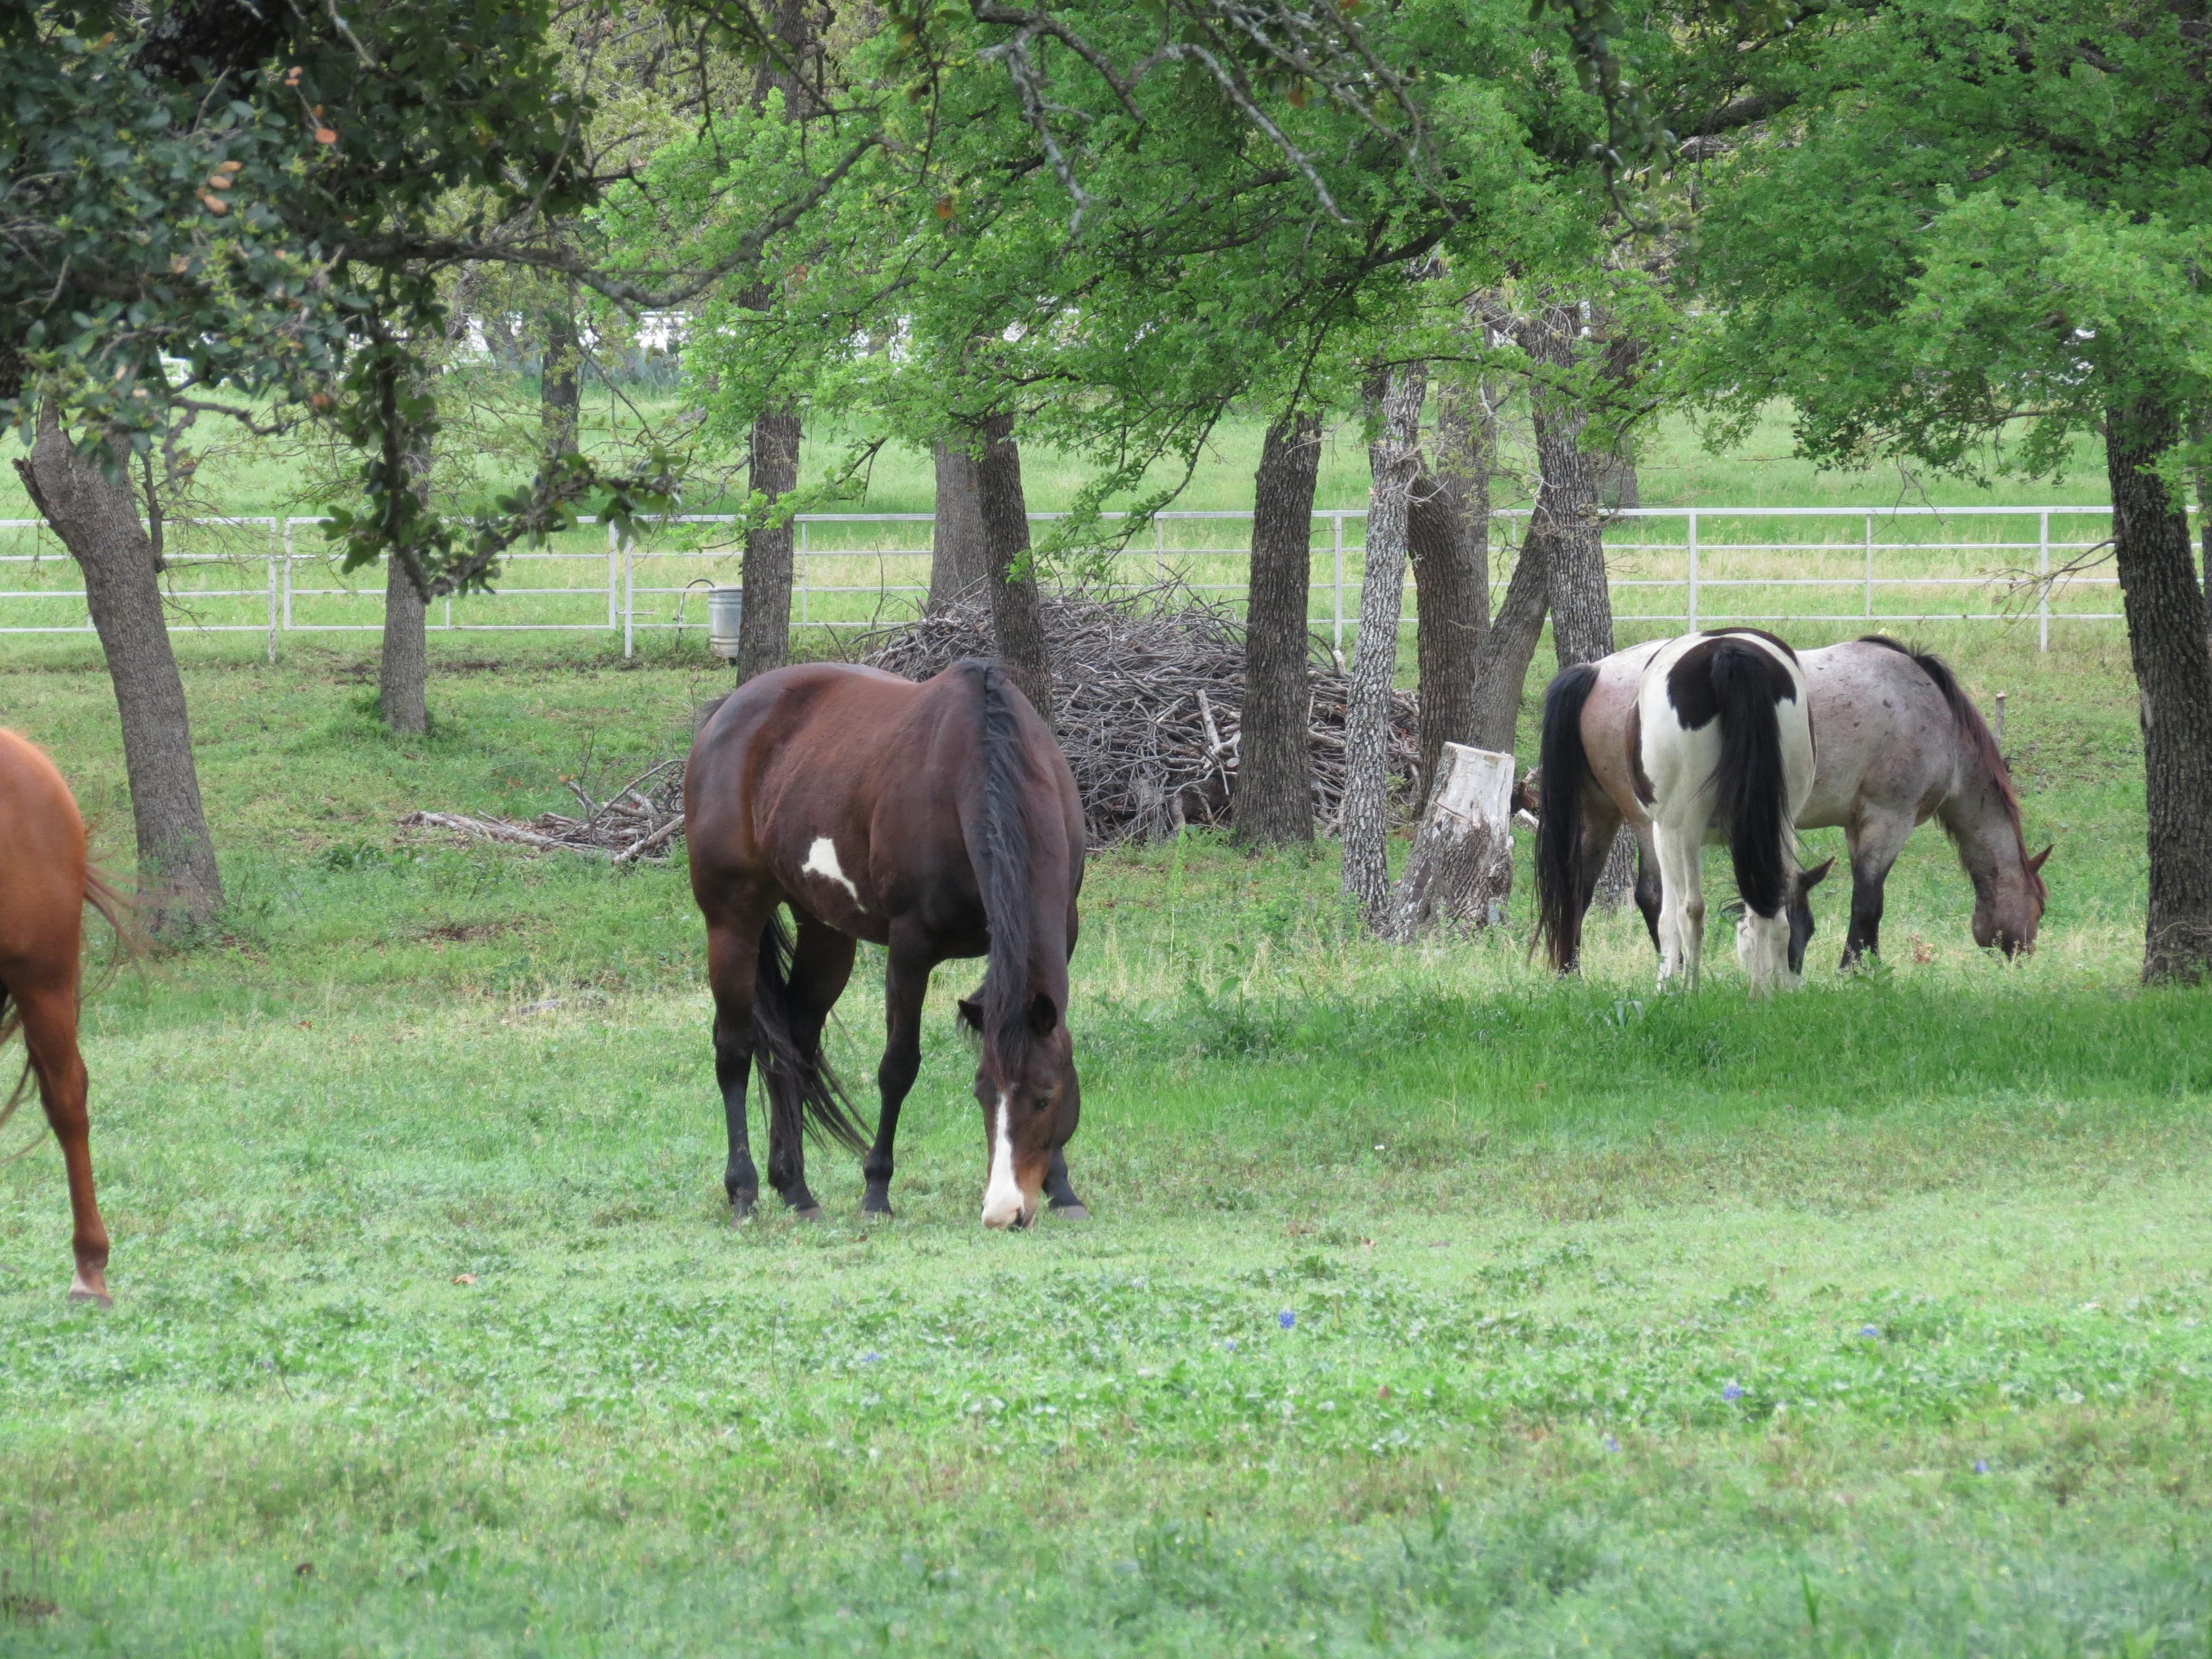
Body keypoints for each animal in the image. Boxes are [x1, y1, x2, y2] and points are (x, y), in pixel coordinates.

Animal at [681, 654, 1079, 1230]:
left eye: (1047, 1098)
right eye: (982, 1094)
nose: (1005, 1211)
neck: (981, 761)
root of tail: (723, 716)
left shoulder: (1060, 935)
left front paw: (1063, 1188)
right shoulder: (911, 950)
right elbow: (897, 1068)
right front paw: (876, 1190)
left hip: (825, 932)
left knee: (794, 1045)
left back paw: (796, 1188)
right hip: (732, 921)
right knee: (734, 1050)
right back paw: (745, 1191)